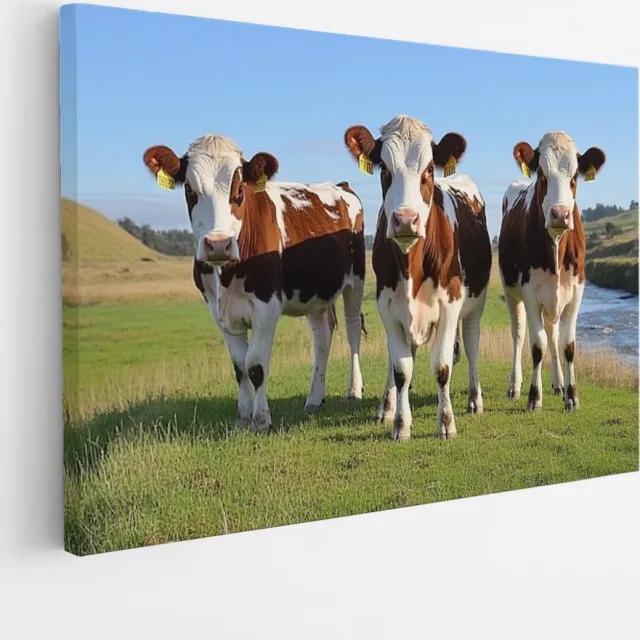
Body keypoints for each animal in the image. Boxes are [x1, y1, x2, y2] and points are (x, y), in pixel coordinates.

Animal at [142, 134, 366, 432]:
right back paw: (314, 398)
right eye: (190, 189)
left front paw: (261, 419)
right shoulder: (218, 311)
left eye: (239, 190)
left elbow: (256, 365)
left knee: (352, 330)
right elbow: (239, 367)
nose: (218, 244)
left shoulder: (266, 307)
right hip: (314, 291)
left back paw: (354, 391)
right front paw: (242, 417)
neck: (226, 274)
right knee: (323, 335)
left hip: (356, 281)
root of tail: (340, 185)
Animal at [343, 115, 492, 441]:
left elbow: (442, 366)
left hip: (475, 307)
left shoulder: (450, 304)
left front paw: (446, 423)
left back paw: (474, 400)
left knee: (472, 344)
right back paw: (387, 406)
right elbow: (401, 368)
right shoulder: (387, 306)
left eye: (428, 169)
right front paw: (400, 422)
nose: (405, 220)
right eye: (384, 169)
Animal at [498, 131, 606, 411]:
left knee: (553, 334)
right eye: (542, 174)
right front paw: (534, 397)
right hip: (511, 293)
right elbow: (537, 345)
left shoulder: (577, 291)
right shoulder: (529, 292)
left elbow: (567, 345)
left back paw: (558, 384)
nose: (560, 214)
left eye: (575, 175)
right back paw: (514, 387)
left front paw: (572, 396)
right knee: (518, 335)